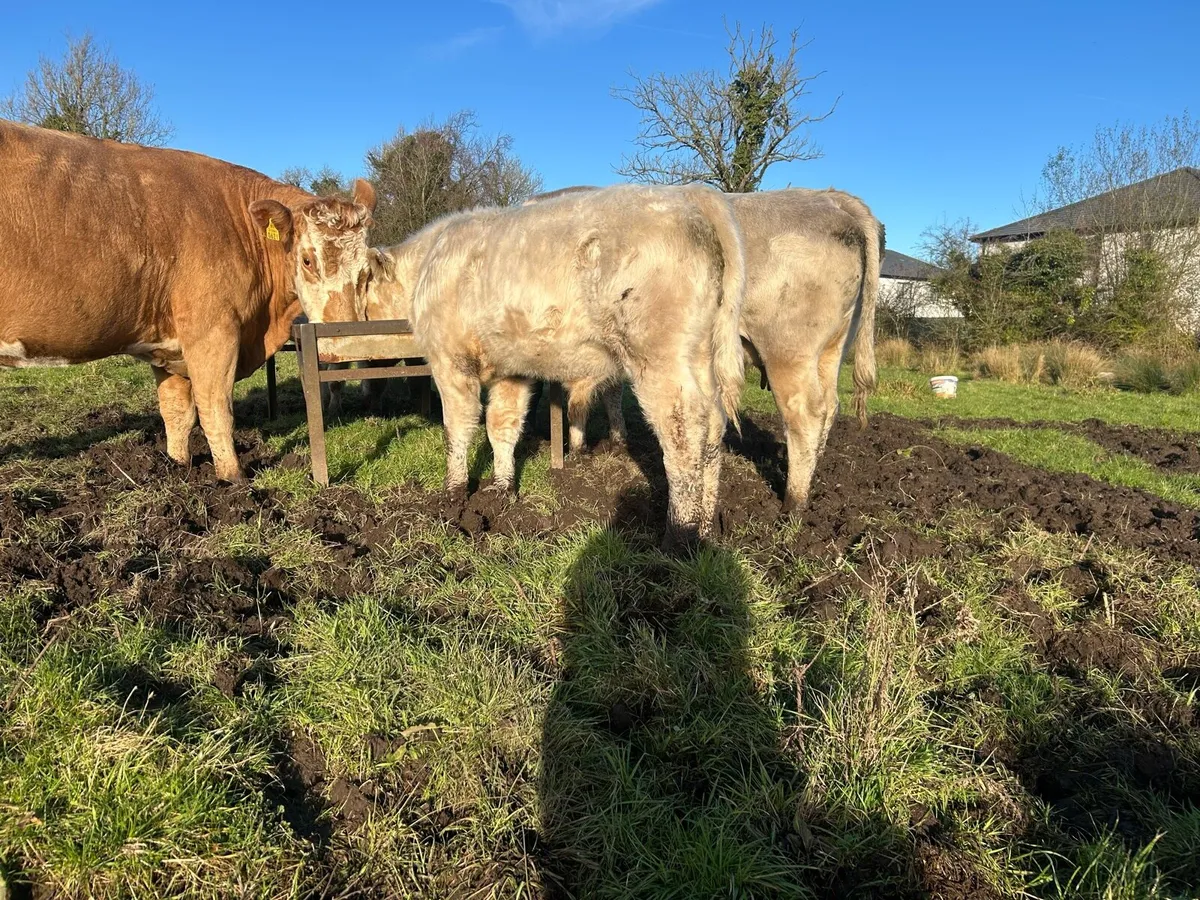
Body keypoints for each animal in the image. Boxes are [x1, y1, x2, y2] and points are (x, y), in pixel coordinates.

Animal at [0, 120, 376, 482]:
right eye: (308, 260)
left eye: (366, 267)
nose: (346, 341)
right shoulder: (212, 331)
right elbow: (216, 410)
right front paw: (232, 480)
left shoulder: (167, 346)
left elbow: (177, 412)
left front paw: (176, 467)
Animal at [368, 184, 746, 547]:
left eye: (364, 292)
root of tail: (690, 196)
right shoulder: (512, 370)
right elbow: (501, 427)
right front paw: (502, 490)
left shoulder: (450, 361)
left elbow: (457, 429)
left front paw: (453, 495)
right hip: (701, 354)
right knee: (713, 426)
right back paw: (706, 527)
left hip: (659, 355)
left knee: (683, 432)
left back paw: (678, 535)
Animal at [529, 185, 882, 515]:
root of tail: (828, 198)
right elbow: (605, 395)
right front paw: (609, 441)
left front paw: (576, 448)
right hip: (832, 349)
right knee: (830, 407)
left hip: (789, 351)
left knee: (806, 413)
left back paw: (792, 502)